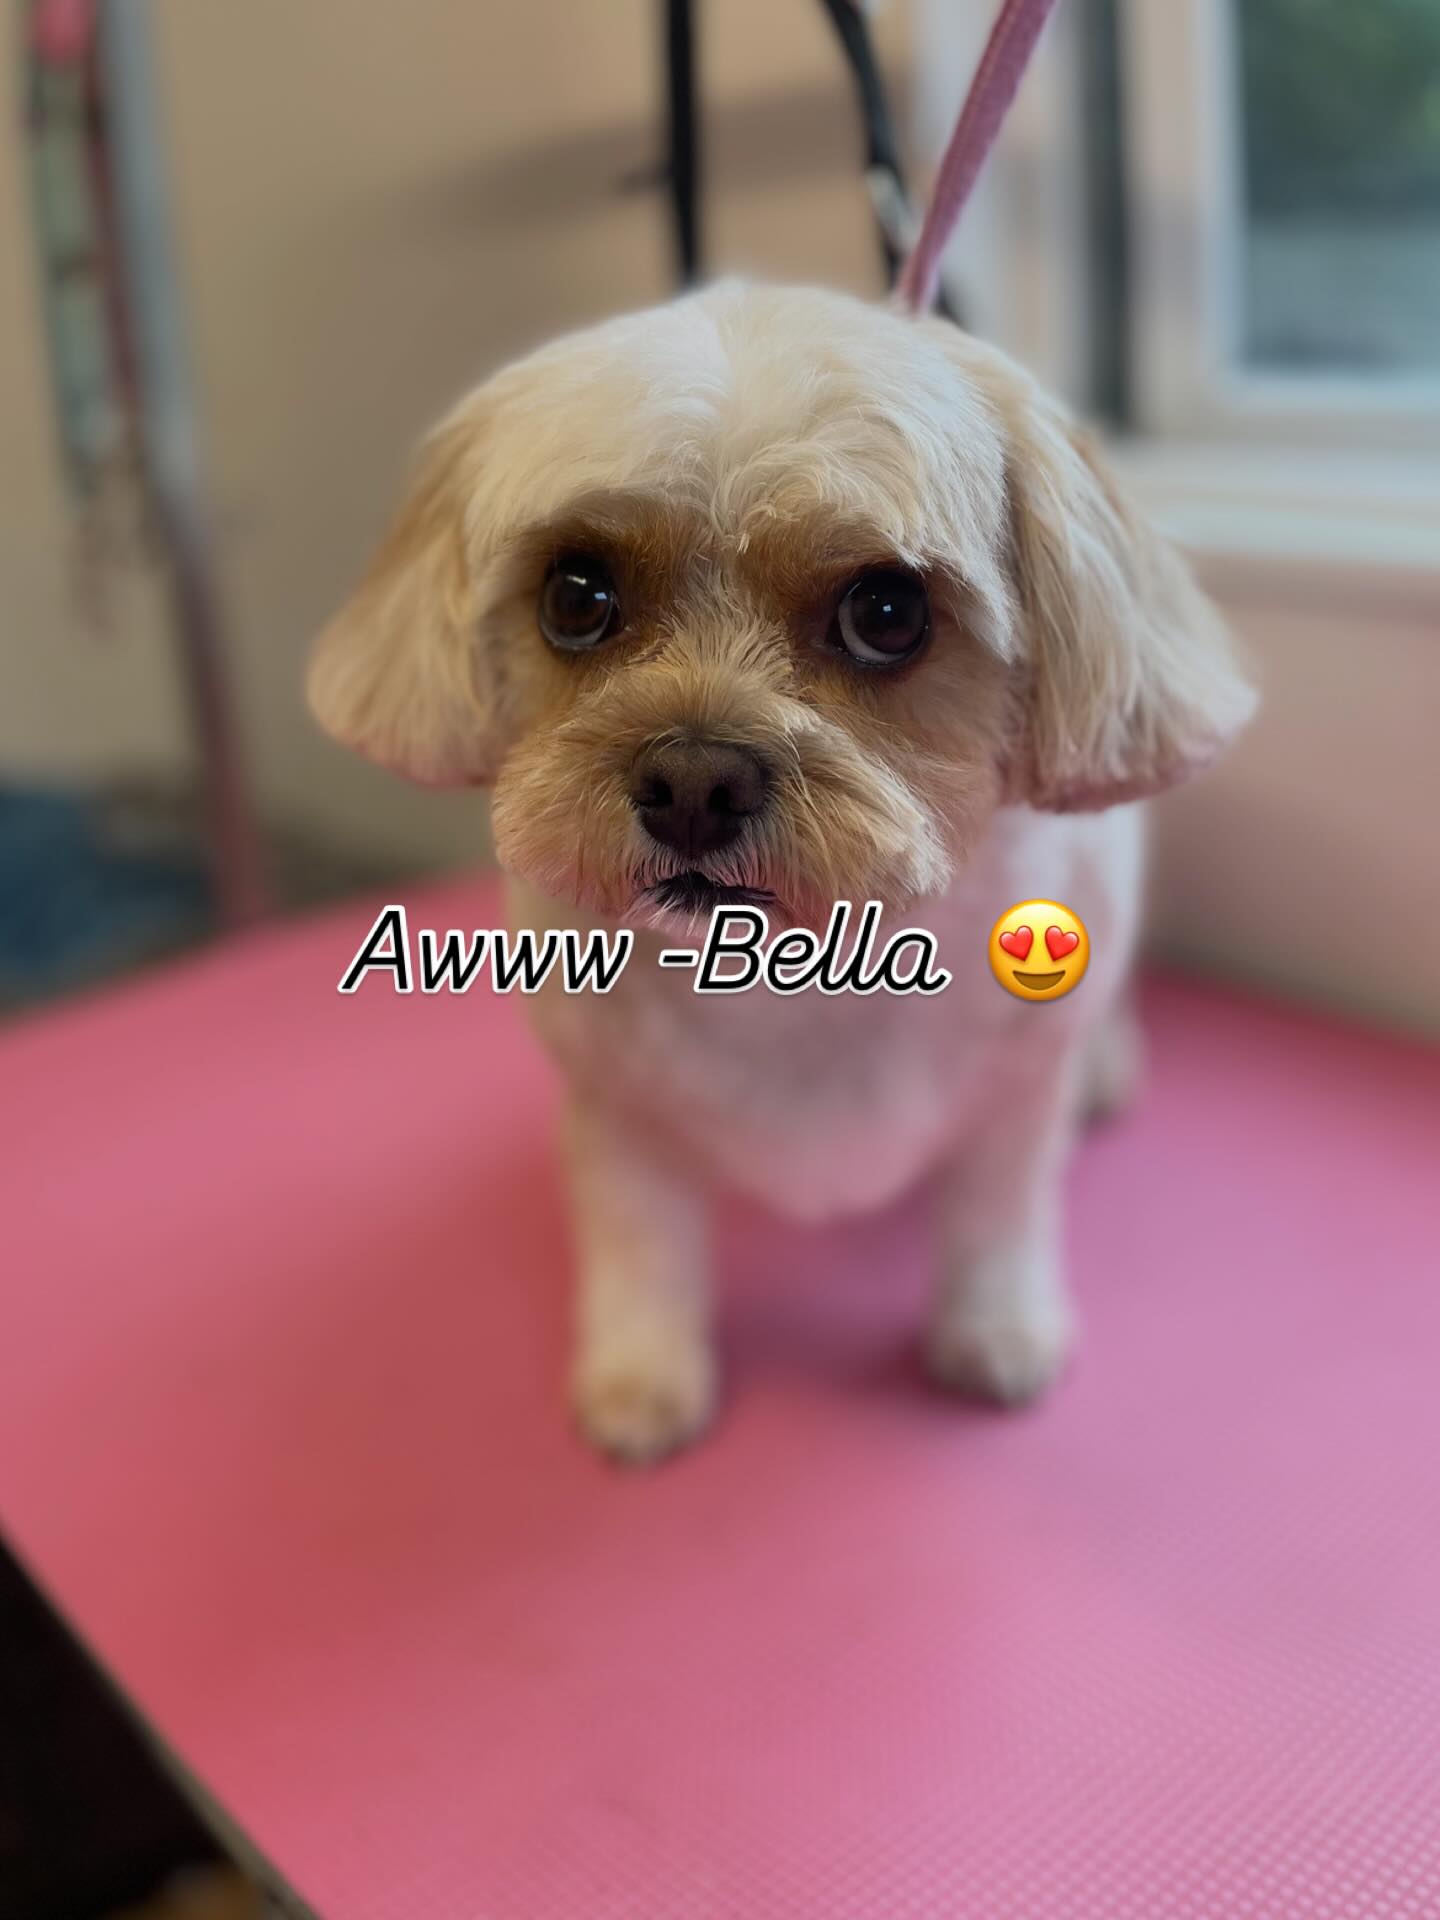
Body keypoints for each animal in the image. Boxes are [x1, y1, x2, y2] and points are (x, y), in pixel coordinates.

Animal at [308, 281, 1254, 1462]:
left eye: (888, 612)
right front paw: (642, 1374)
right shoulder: (615, 1111)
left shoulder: (1013, 1099)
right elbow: (642, 1243)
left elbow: (996, 1216)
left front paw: (996, 1330)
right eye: (576, 594)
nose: (693, 782)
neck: (793, 979)